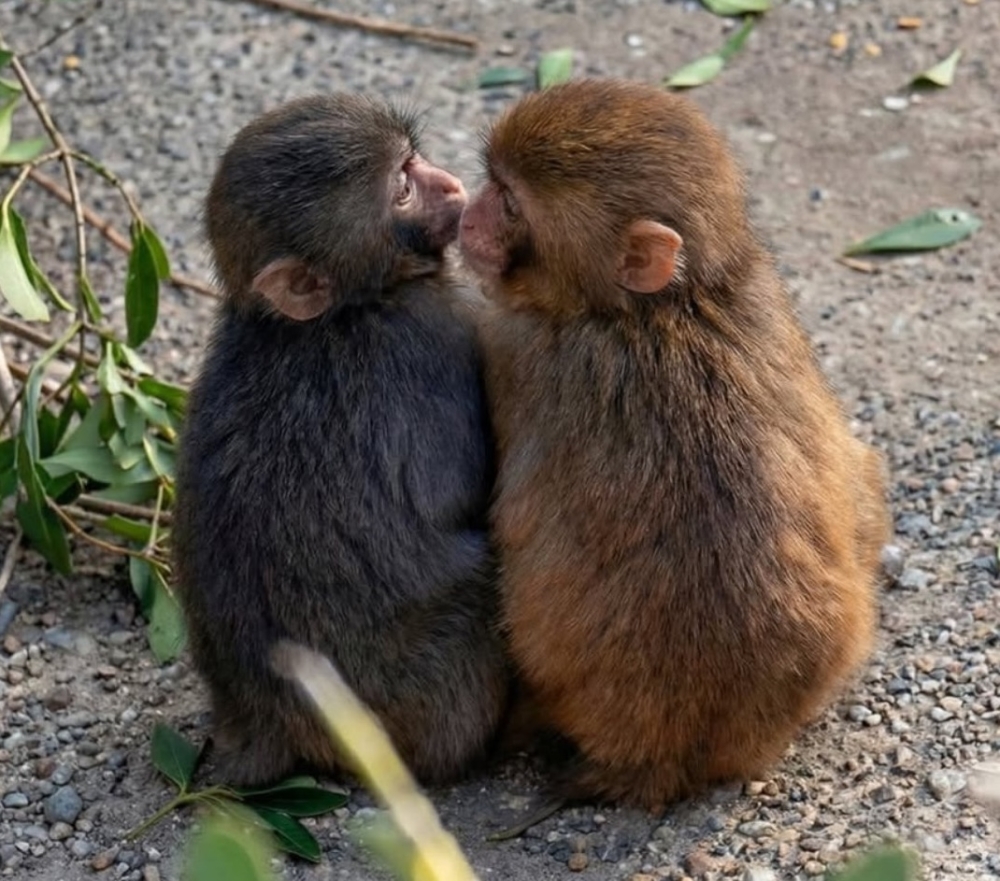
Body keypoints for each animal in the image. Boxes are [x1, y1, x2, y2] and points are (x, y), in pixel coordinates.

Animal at [172, 94, 509, 788]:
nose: (450, 184)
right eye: (402, 187)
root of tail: (261, 717)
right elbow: (463, 491)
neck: (342, 308)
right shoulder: (432, 336)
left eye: (413, 159)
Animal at [459, 79, 891, 815]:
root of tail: (674, 755)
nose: (468, 214)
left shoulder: (509, 345)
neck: (662, 308)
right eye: (494, 184)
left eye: (509, 202)